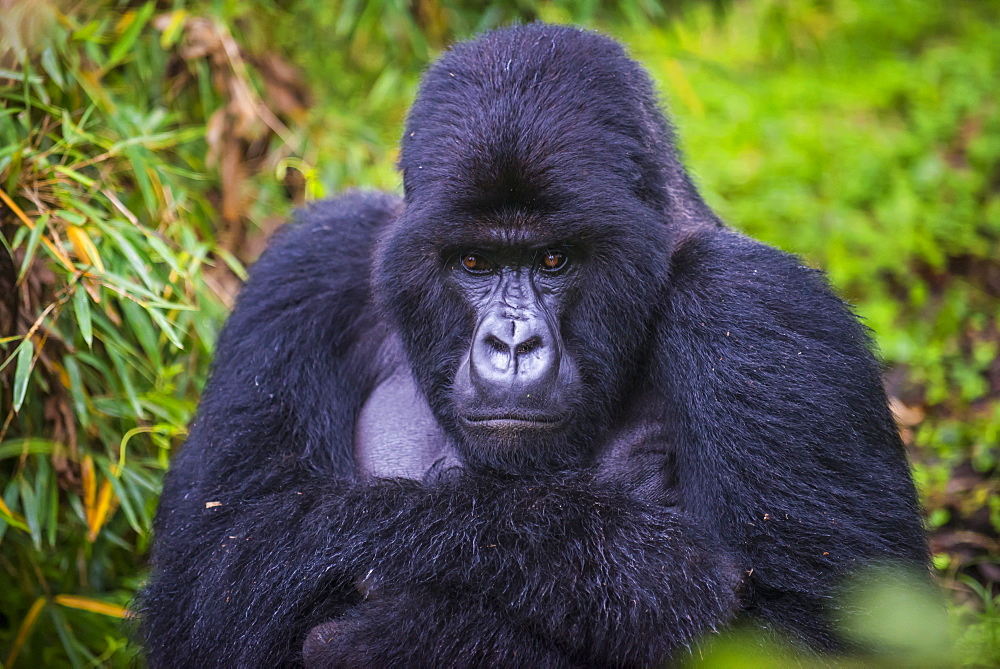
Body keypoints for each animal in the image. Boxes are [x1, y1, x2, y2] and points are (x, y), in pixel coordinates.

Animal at [137, 23, 924, 664]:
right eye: (475, 262)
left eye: (553, 260)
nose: (511, 345)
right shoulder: (313, 263)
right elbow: (215, 569)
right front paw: (627, 565)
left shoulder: (757, 306)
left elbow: (814, 634)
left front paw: (408, 637)